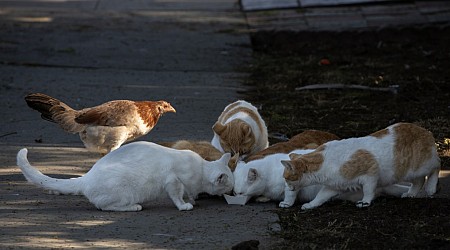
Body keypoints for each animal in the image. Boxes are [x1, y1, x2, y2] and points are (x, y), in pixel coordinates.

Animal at [15, 141, 234, 211]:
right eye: (229, 185)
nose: (233, 191)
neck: (201, 168)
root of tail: (87, 176)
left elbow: (189, 193)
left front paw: (192, 200)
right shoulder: (173, 181)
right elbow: (178, 196)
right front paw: (184, 206)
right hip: (123, 190)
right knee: (104, 206)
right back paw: (134, 207)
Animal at [282, 122, 440, 209]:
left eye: (286, 179)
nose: (287, 188)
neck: (325, 163)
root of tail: (426, 130)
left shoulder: (370, 173)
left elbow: (368, 191)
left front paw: (365, 202)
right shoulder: (334, 186)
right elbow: (320, 197)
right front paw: (310, 205)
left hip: (422, 165)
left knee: (436, 166)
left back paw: (431, 188)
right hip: (409, 172)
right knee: (419, 180)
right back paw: (411, 193)